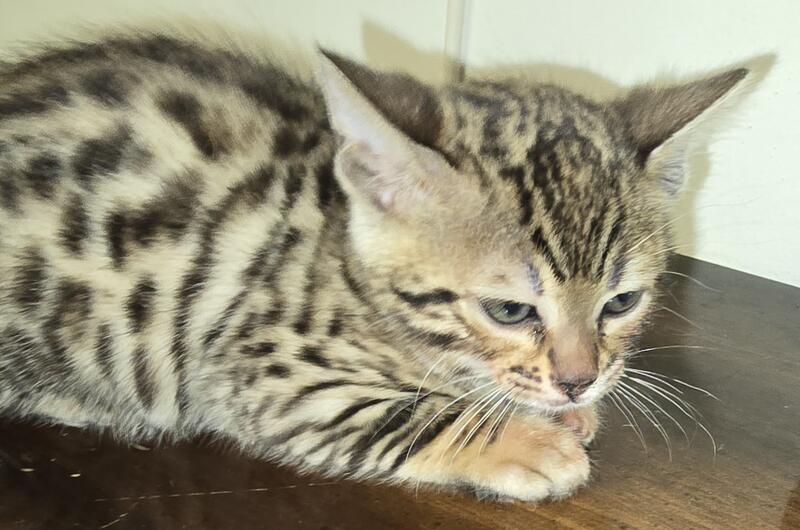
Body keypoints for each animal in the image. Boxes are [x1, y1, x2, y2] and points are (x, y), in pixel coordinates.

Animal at [0, 31, 747, 502]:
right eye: (509, 310)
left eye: (620, 303)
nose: (578, 382)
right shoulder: (261, 367)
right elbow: (405, 414)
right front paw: (523, 440)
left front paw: (559, 412)